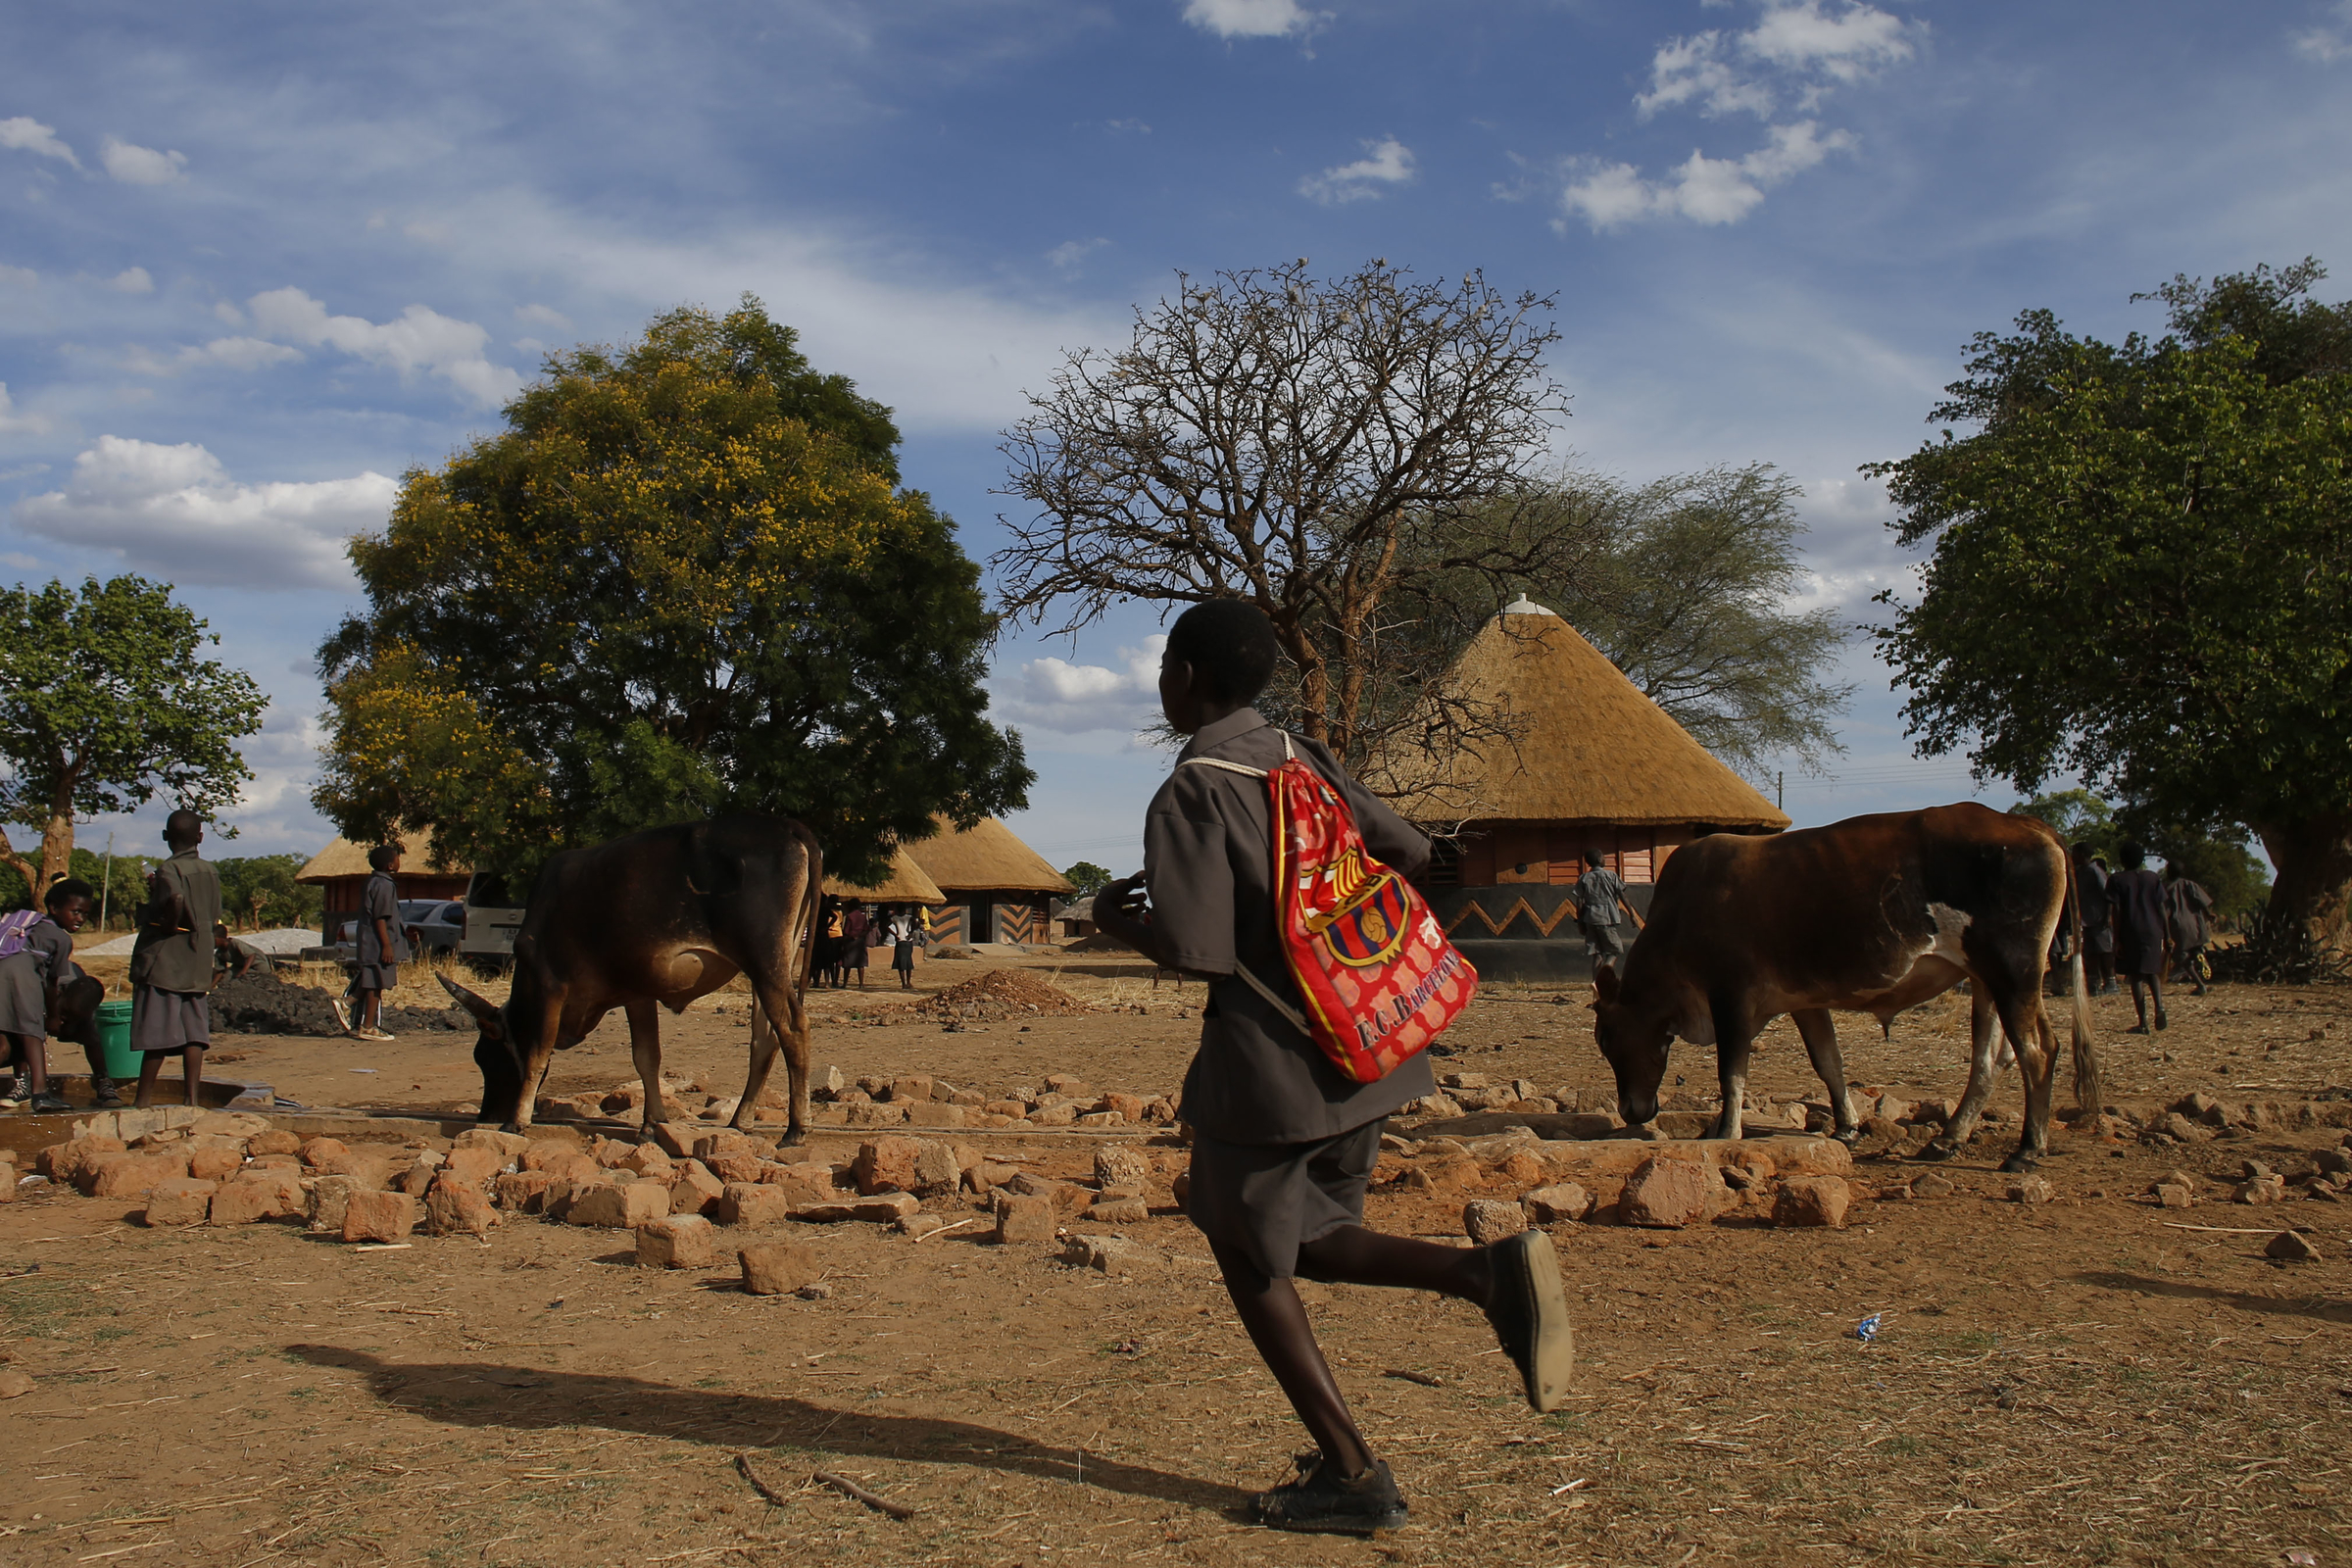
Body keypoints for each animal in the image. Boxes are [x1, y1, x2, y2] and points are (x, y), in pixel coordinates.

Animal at [442, 817, 827, 1147]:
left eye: (484, 1056)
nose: (487, 1115)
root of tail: (787, 826)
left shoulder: (549, 983)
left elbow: (537, 1051)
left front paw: (516, 1121)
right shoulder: (637, 993)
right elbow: (646, 1056)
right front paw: (651, 1123)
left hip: (764, 961)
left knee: (793, 1028)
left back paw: (795, 1129)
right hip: (772, 963)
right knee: (765, 1038)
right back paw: (740, 1121)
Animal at [1580, 804, 2097, 1170]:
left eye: (1607, 1038)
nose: (1631, 1110)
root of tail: (2026, 824)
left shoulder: (1732, 998)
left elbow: (1732, 1073)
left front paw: (1726, 1130)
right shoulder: (1804, 1002)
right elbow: (1829, 1062)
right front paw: (1847, 1125)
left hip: (2013, 973)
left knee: (2037, 1052)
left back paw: (2027, 1150)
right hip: (1986, 981)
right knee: (1990, 1060)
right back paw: (1949, 1138)